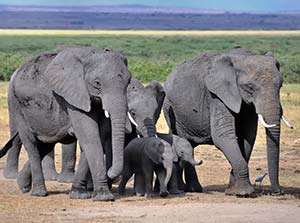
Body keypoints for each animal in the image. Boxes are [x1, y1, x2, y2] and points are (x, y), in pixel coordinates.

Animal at [0, 46, 132, 201]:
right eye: (97, 83)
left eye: (128, 82)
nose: (111, 173)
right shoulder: (72, 98)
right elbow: (90, 137)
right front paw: (104, 197)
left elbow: (97, 137)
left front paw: (79, 194)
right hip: (17, 106)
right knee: (32, 145)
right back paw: (39, 192)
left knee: (45, 145)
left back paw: (22, 185)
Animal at [163, 48, 292, 196]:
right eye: (250, 87)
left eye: (280, 86)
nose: (278, 192)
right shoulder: (217, 96)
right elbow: (223, 136)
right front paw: (245, 193)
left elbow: (248, 138)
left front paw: (232, 191)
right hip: (171, 110)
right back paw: (190, 190)